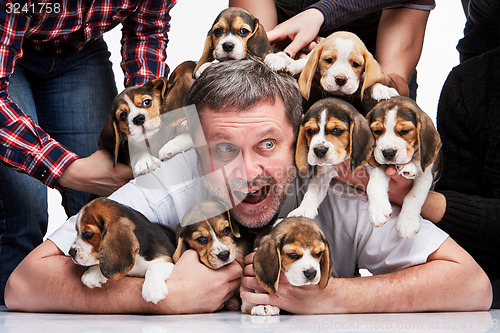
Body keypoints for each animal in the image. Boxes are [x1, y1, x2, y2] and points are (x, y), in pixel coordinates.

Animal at [364, 96, 442, 239]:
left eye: (404, 131)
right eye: (377, 131)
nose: (388, 152)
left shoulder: (426, 176)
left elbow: (414, 196)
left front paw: (408, 223)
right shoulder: (376, 165)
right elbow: (374, 185)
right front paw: (378, 209)